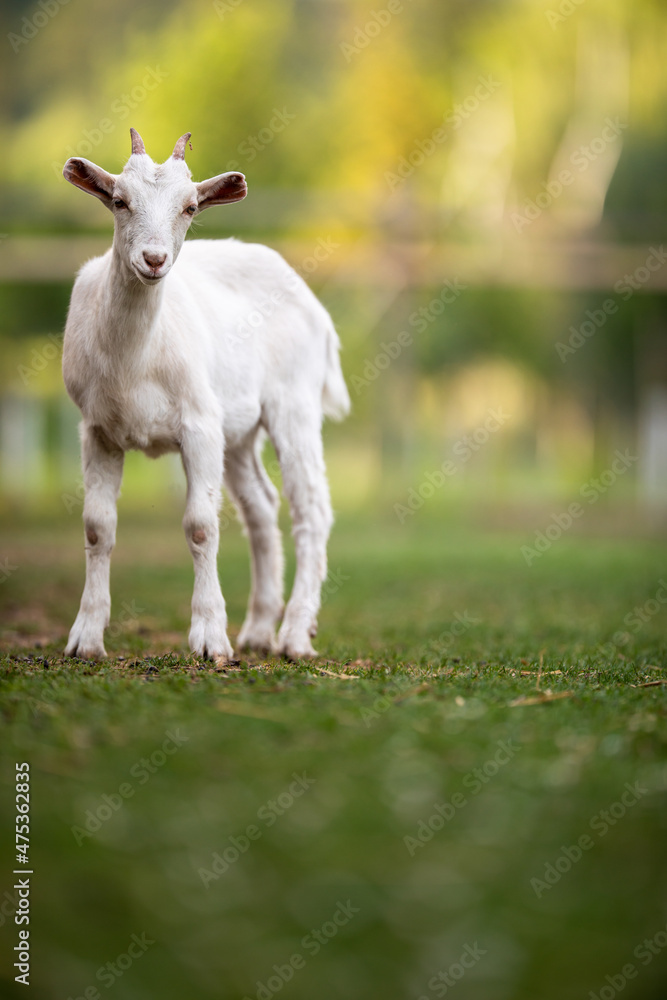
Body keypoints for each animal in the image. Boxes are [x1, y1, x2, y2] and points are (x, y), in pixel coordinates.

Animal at [62, 131, 352, 664]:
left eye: (190, 206)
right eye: (119, 200)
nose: (154, 260)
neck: (135, 360)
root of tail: (316, 309)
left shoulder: (198, 423)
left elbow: (200, 524)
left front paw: (209, 639)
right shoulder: (97, 430)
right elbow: (97, 526)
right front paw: (85, 639)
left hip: (294, 403)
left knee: (311, 509)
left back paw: (295, 636)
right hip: (235, 431)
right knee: (261, 506)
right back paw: (258, 630)